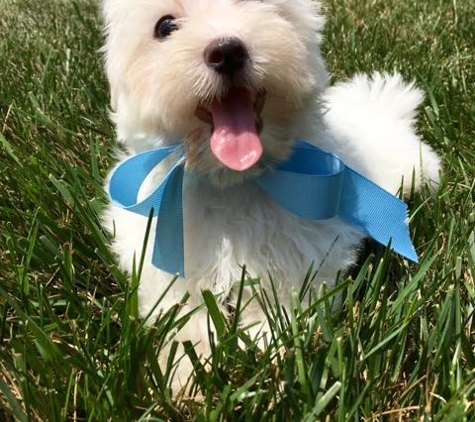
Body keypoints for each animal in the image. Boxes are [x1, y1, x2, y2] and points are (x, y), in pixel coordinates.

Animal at [100, 0, 442, 390]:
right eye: (165, 26)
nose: (227, 51)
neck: (234, 181)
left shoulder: (301, 261)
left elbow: (280, 316)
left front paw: (268, 364)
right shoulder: (165, 257)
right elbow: (185, 314)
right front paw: (185, 374)